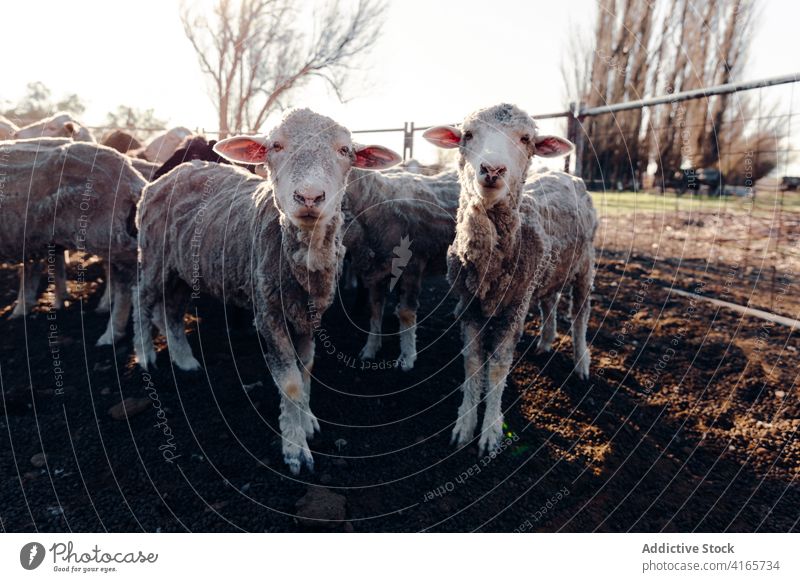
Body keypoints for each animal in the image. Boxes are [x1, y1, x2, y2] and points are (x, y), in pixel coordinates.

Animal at [135, 109, 406, 474]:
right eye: (275, 146)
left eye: (345, 151)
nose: (309, 197)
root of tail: (174, 172)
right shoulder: (267, 314)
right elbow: (289, 380)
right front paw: (295, 449)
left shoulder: (309, 315)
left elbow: (305, 368)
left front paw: (307, 420)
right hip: (153, 257)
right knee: (141, 301)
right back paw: (145, 355)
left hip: (181, 269)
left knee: (173, 311)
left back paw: (185, 360)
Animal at [342, 168, 460, 370]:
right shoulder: (377, 269)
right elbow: (375, 309)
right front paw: (370, 349)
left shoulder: (413, 265)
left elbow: (406, 312)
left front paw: (407, 357)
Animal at [422, 102, 596, 454]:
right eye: (467, 134)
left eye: (526, 138)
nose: (492, 169)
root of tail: (564, 172)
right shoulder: (469, 305)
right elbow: (473, 362)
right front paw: (464, 425)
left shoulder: (514, 307)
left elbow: (499, 366)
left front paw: (490, 431)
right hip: (547, 271)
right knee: (549, 302)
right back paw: (545, 342)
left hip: (585, 265)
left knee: (581, 313)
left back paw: (581, 362)